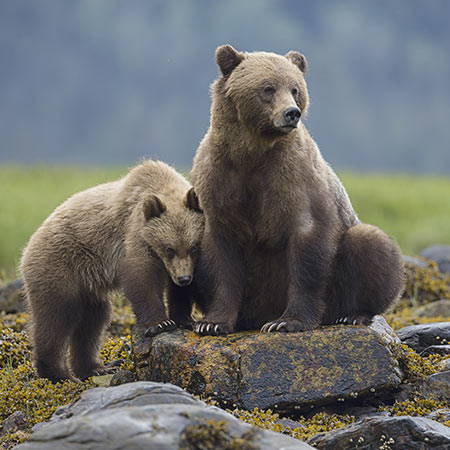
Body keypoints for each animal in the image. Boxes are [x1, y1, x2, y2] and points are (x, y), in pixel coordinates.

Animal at [191, 44, 404, 334]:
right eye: (268, 88)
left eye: (295, 88)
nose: (291, 113)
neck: (252, 154)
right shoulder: (219, 181)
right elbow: (219, 256)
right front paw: (212, 323)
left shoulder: (294, 179)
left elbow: (307, 248)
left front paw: (286, 321)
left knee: (370, 244)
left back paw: (352, 314)